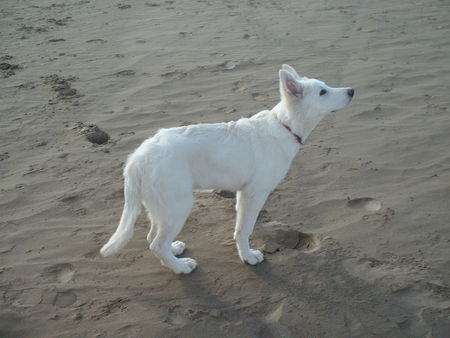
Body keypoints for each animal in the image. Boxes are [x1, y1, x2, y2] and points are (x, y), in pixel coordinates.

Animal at [99, 64, 356, 274]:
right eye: (322, 92)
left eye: (326, 86)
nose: (352, 90)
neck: (285, 126)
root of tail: (136, 158)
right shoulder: (255, 193)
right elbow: (244, 229)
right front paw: (248, 256)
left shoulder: (243, 193)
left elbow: (241, 226)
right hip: (177, 205)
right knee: (156, 243)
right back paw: (181, 268)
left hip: (161, 206)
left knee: (153, 238)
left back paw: (174, 253)